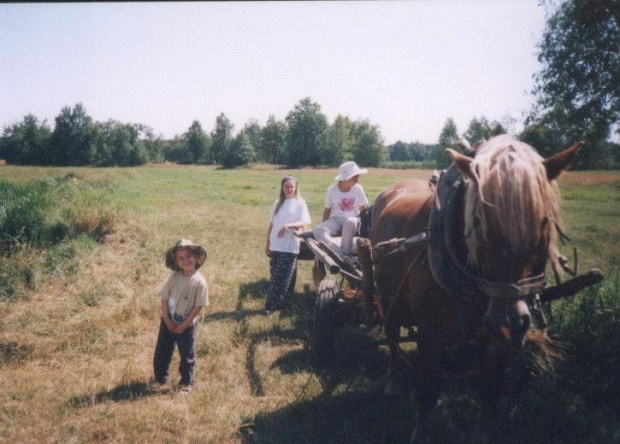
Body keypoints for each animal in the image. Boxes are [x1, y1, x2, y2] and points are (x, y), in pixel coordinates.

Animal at [370, 136, 584, 444]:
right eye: (479, 222)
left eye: (543, 222)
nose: (509, 322)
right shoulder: (429, 332)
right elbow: (428, 386)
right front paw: (421, 431)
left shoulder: (497, 341)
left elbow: (490, 389)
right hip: (387, 297)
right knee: (392, 333)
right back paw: (393, 379)